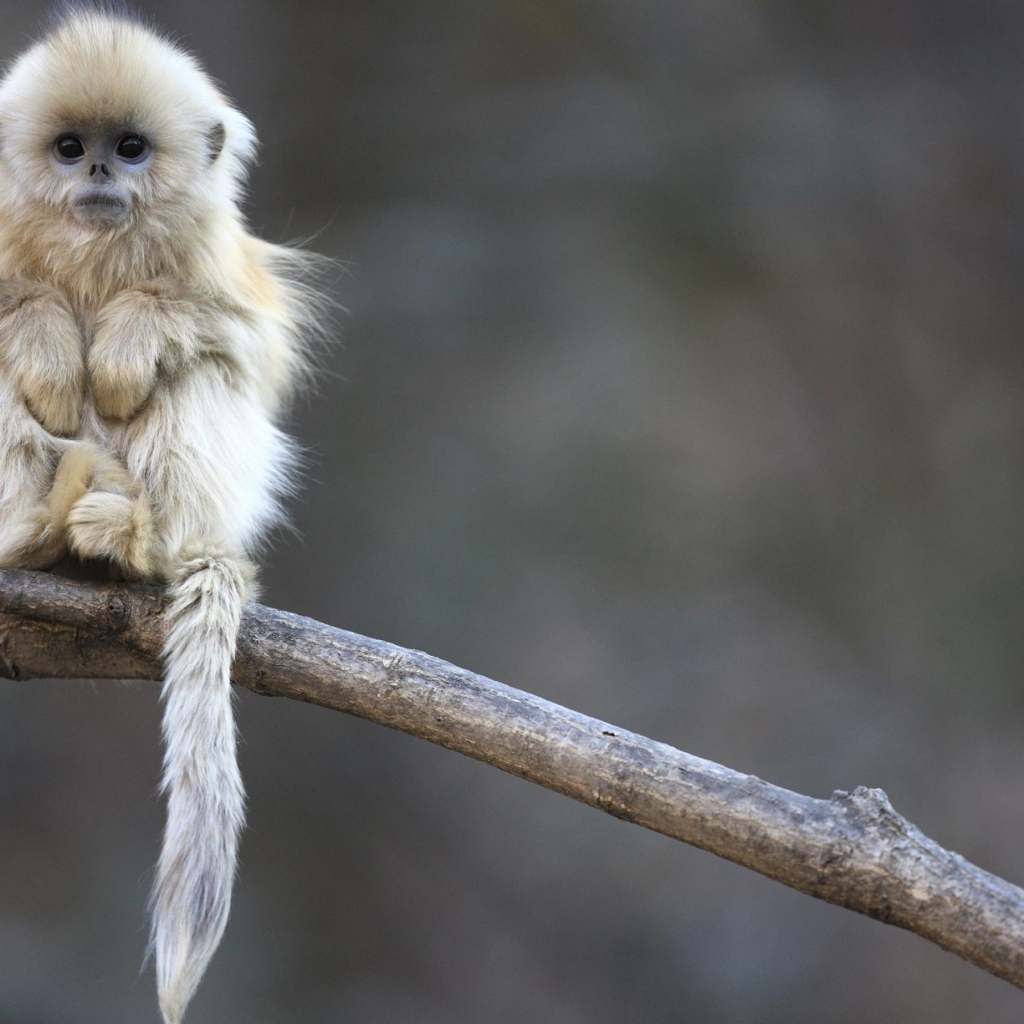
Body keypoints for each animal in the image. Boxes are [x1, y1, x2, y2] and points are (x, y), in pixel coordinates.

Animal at [0, 6, 323, 1015]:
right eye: (70, 149)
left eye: (132, 148)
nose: (102, 175)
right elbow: (22, 311)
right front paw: (49, 344)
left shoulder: (219, 266)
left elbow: (239, 341)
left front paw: (121, 342)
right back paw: (31, 533)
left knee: (201, 375)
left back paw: (129, 541)